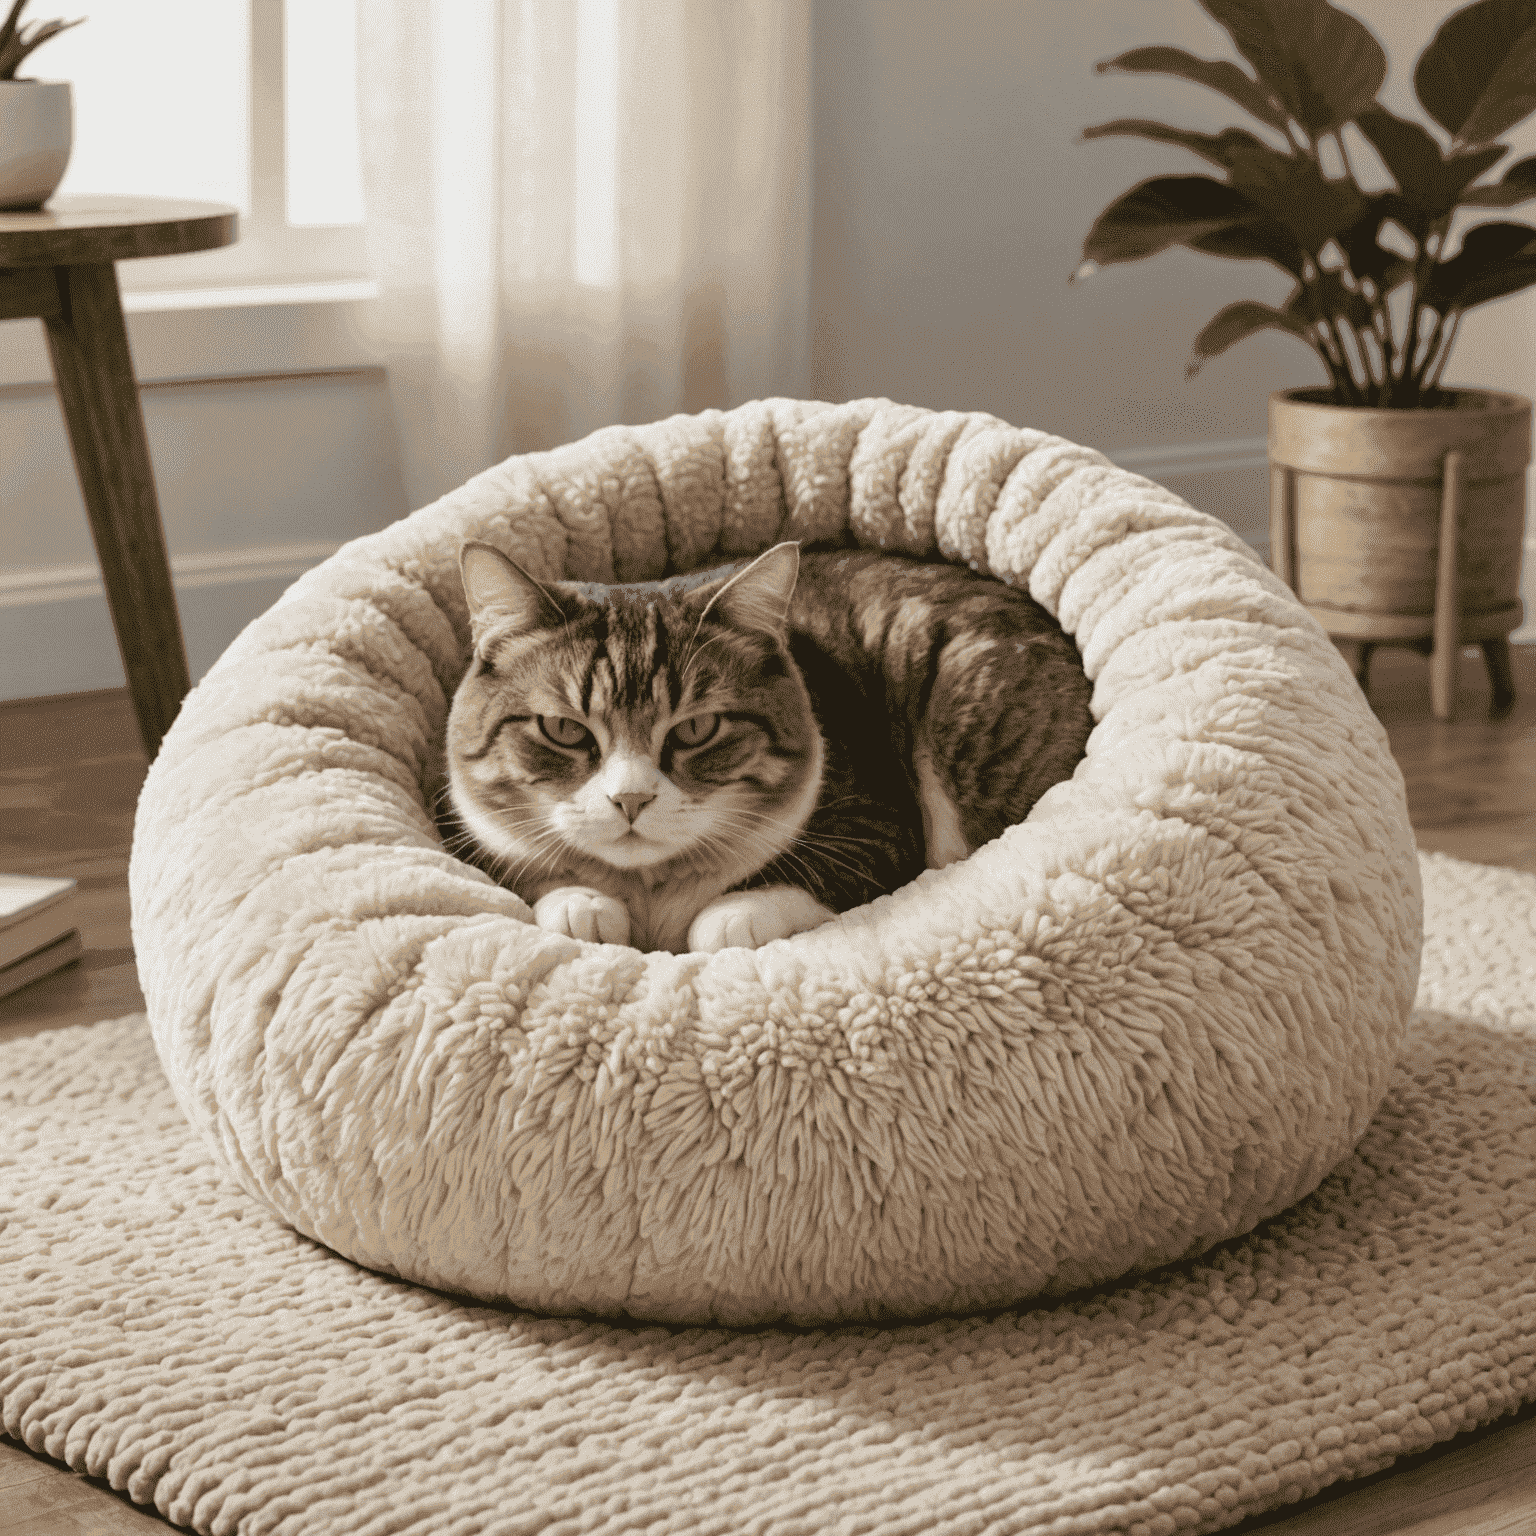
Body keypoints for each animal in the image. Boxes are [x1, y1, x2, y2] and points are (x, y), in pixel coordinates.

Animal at [439, 537, 1099, 946]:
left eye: (697, 728)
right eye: (565, 729)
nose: (630, 800)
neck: (651, 891)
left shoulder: (880, 822)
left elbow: (808, 879)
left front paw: (731, 916)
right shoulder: (470, 834)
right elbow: (531, 875)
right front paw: (583, 905)